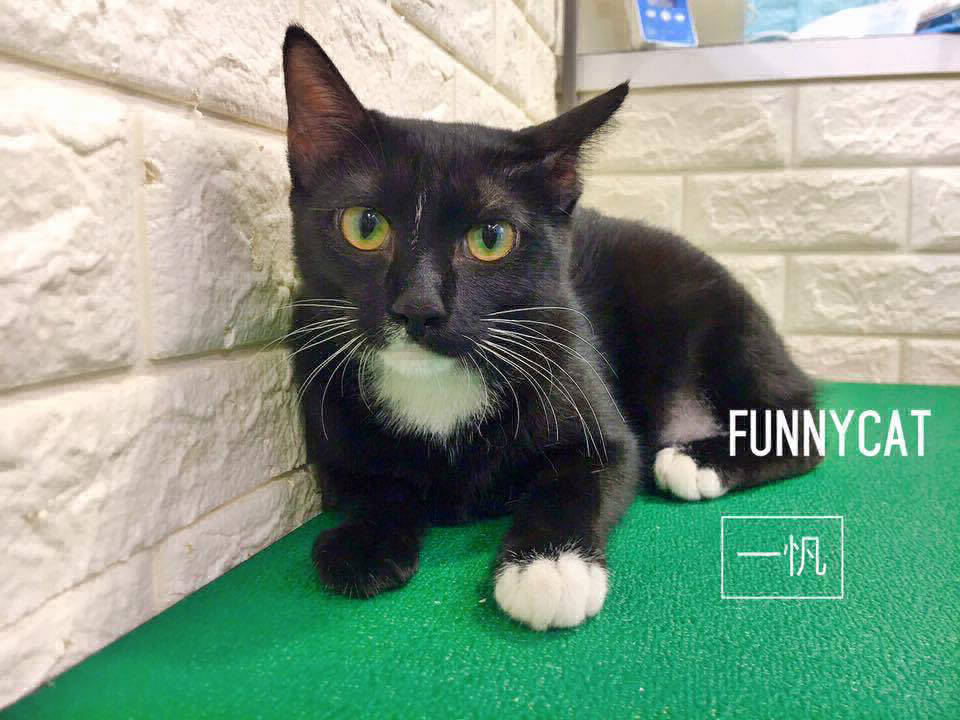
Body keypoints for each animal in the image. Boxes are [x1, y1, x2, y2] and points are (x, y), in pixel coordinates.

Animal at [281, 25, 822, 630]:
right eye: (365, 225)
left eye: (491, 237)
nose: (418, 307)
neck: (435, 386)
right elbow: (371, 482)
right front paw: (364, 543)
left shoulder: (584, 381)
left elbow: (588, 474)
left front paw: (549, 568)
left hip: (716, 324)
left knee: (797, 425)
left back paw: (695, 460)